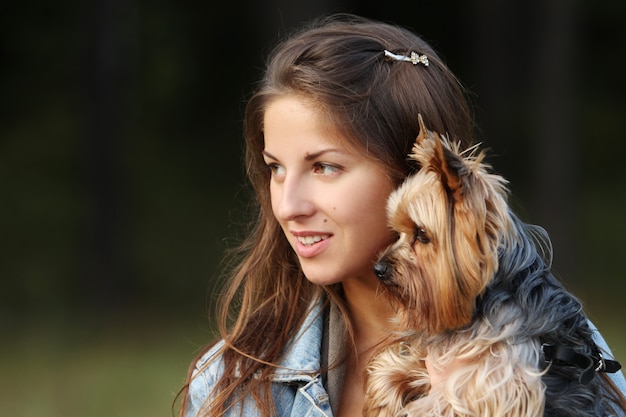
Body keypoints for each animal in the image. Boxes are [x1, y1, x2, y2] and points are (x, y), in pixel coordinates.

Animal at [364, 115, 620, 416]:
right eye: (399, 232)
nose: (378, 269)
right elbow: (389, 371)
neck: (483, 300)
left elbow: (434, 404)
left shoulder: (500, 387)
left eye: (422, 234)